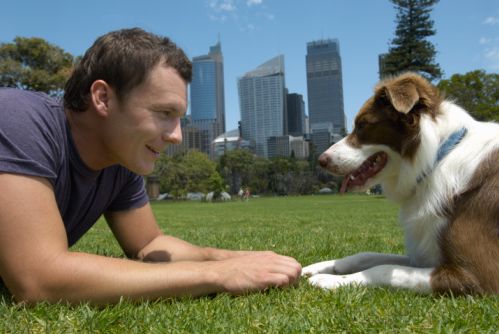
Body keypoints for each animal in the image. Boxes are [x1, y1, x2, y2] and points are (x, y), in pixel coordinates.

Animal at [302, 73, 499, 294]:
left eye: (362, 125)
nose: (321, 160)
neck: (437, 158)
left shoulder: (481, 273)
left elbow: (384, 268)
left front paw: (331, 280)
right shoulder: (422, 254)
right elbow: (367, 255)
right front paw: (319, 267)